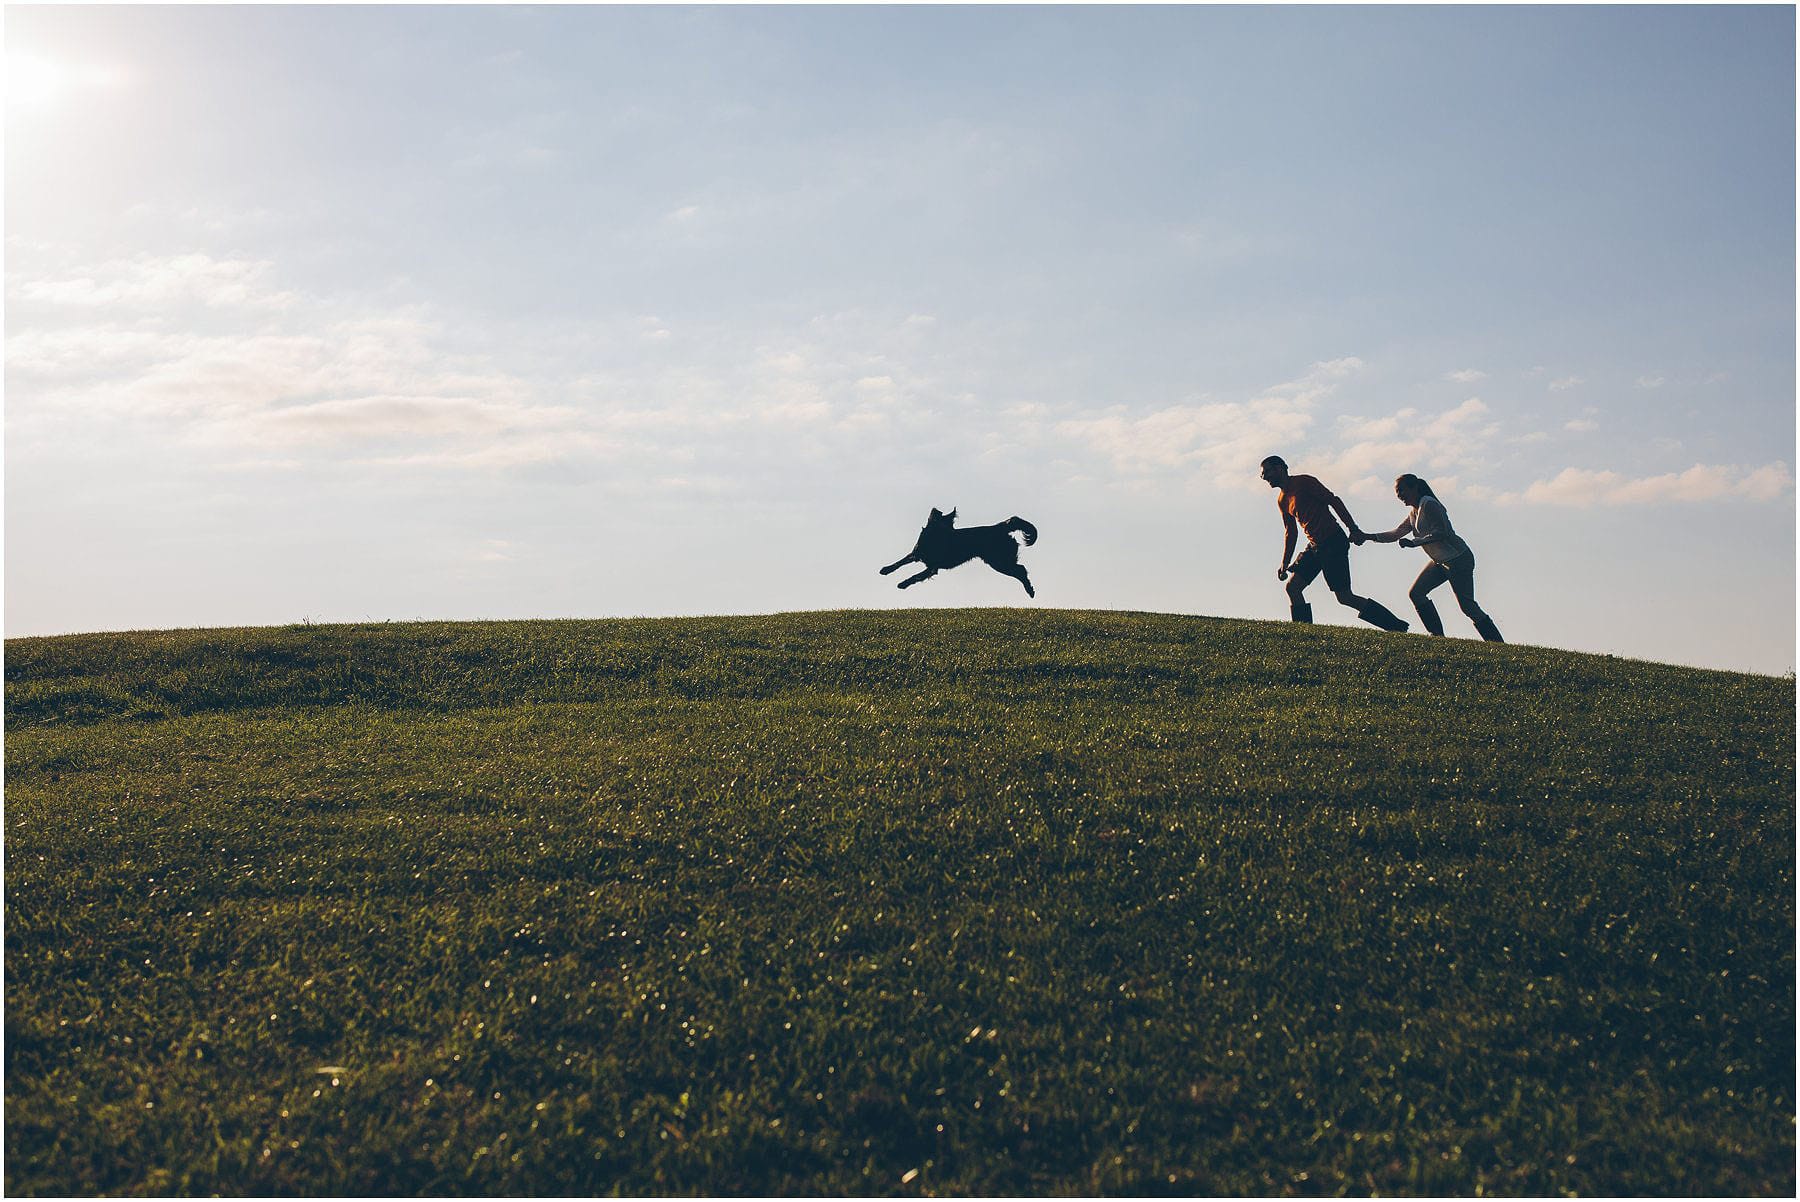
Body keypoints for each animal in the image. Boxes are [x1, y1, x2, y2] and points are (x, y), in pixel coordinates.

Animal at [874, 507, 1036, 597]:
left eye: (950, 527)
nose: (955, 537)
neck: (932, 541)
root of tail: (999, 527)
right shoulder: (916, 554)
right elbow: (899, 562)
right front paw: (885, 569)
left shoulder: (932, 567)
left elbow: (915, 576)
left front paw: (903, 584)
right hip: (1000, 561)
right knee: (1020, 570)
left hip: (999, 561)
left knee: (1021, 570)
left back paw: (1030, 590)